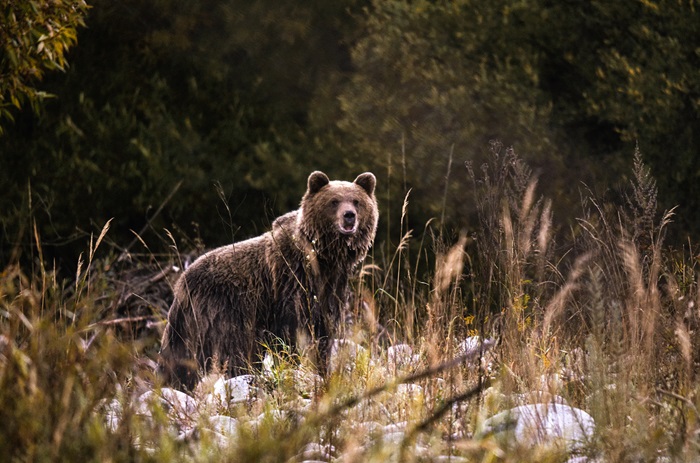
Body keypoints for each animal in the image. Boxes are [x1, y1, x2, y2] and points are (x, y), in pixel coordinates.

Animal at [159, 172, 378, 390]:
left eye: (356, 201)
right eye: (334, 201)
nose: (349, 215)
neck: (323, 258)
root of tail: (182, 282)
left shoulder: (332, 288)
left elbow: (324, 335)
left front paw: (324, 372)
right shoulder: (290, 283)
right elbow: (290, 332)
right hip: (226, 309)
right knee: (235, 348)